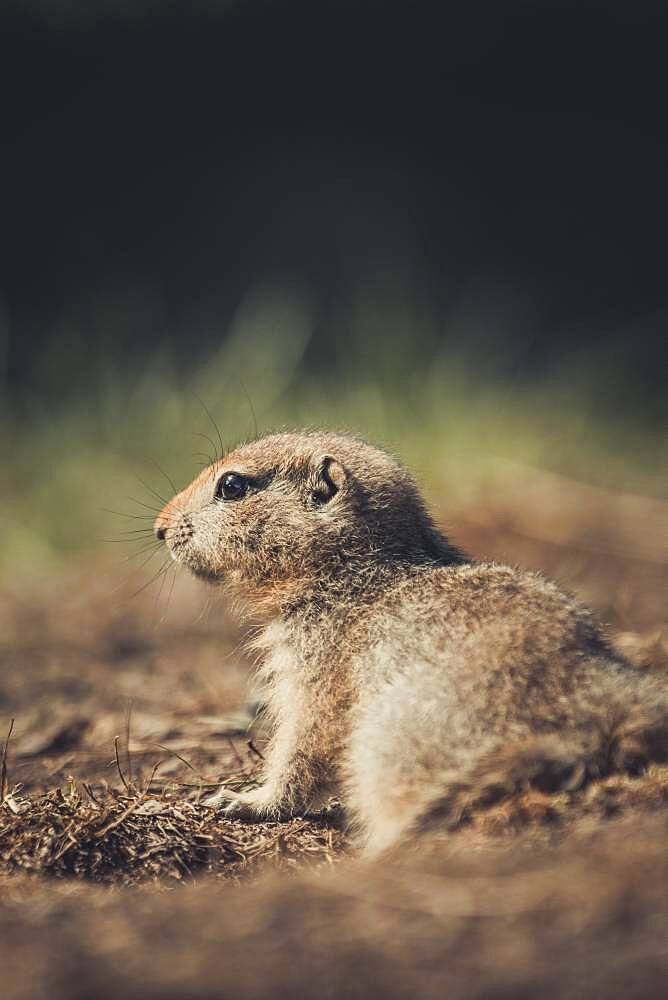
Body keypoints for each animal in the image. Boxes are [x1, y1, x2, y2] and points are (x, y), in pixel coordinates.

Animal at [153, 428, 668, 852]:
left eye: (232, 486)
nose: (159, 527)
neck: (356, 572)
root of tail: (599, 707)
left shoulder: (316, 662)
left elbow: (307, 738)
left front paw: (244, 800)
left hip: (392, 742)